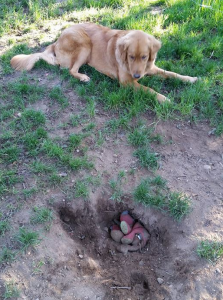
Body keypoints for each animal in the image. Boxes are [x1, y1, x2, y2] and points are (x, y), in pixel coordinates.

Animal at [11, 22, 198, 103]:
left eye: (144, 57)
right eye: (131, 56)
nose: (137, 75)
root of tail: (56, 41)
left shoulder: (150, 68)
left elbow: (171, 73)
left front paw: (190, 79)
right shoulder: (127, 82)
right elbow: (149, 89)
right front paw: (164, 99)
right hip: (84, 44)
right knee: (70, 70)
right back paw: (83, 77)